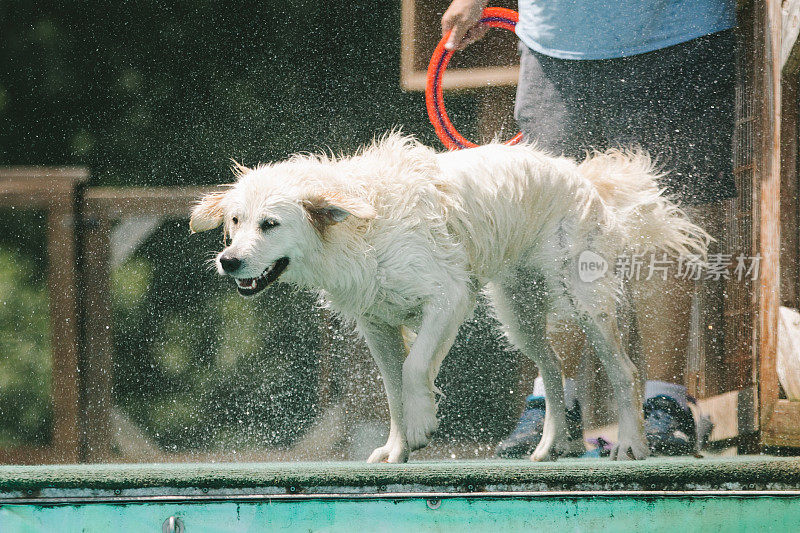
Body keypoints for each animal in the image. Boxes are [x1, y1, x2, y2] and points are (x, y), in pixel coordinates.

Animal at [189, 133, 708, 462]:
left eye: (270, 224)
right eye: (234, 221)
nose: (228, 261)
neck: (361, 229)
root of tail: (583, 176)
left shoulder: (448, 297)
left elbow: (415, 368)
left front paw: (422, 427)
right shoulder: (377, 324)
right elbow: (393, 389)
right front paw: (397, 448)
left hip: (583, 299)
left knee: (625, 371)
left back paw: (632, 445)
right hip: (518, 312)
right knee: (553, 368)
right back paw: (549, 446)